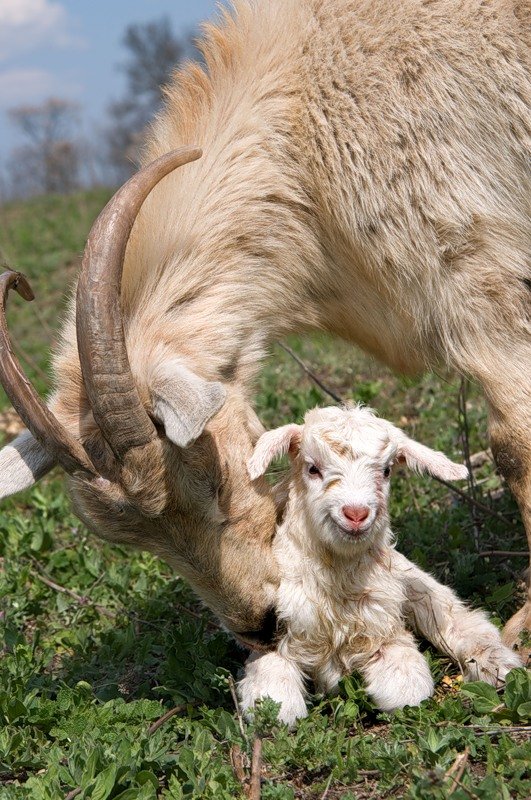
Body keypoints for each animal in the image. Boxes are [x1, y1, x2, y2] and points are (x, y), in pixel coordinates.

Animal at [0, 0, 529, 650]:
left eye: (216, 478)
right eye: (131, 539)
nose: (259, 622)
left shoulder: (476, 274)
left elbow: (515, 443)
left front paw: (522, 629)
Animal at [238, 405, 521, 726]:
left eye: (386, 471)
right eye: (312, 468)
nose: (356, 513)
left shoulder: (386, 634)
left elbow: (407, 690)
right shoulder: (273, 638)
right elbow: (277, 705)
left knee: (464, 620)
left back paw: (499, 666)